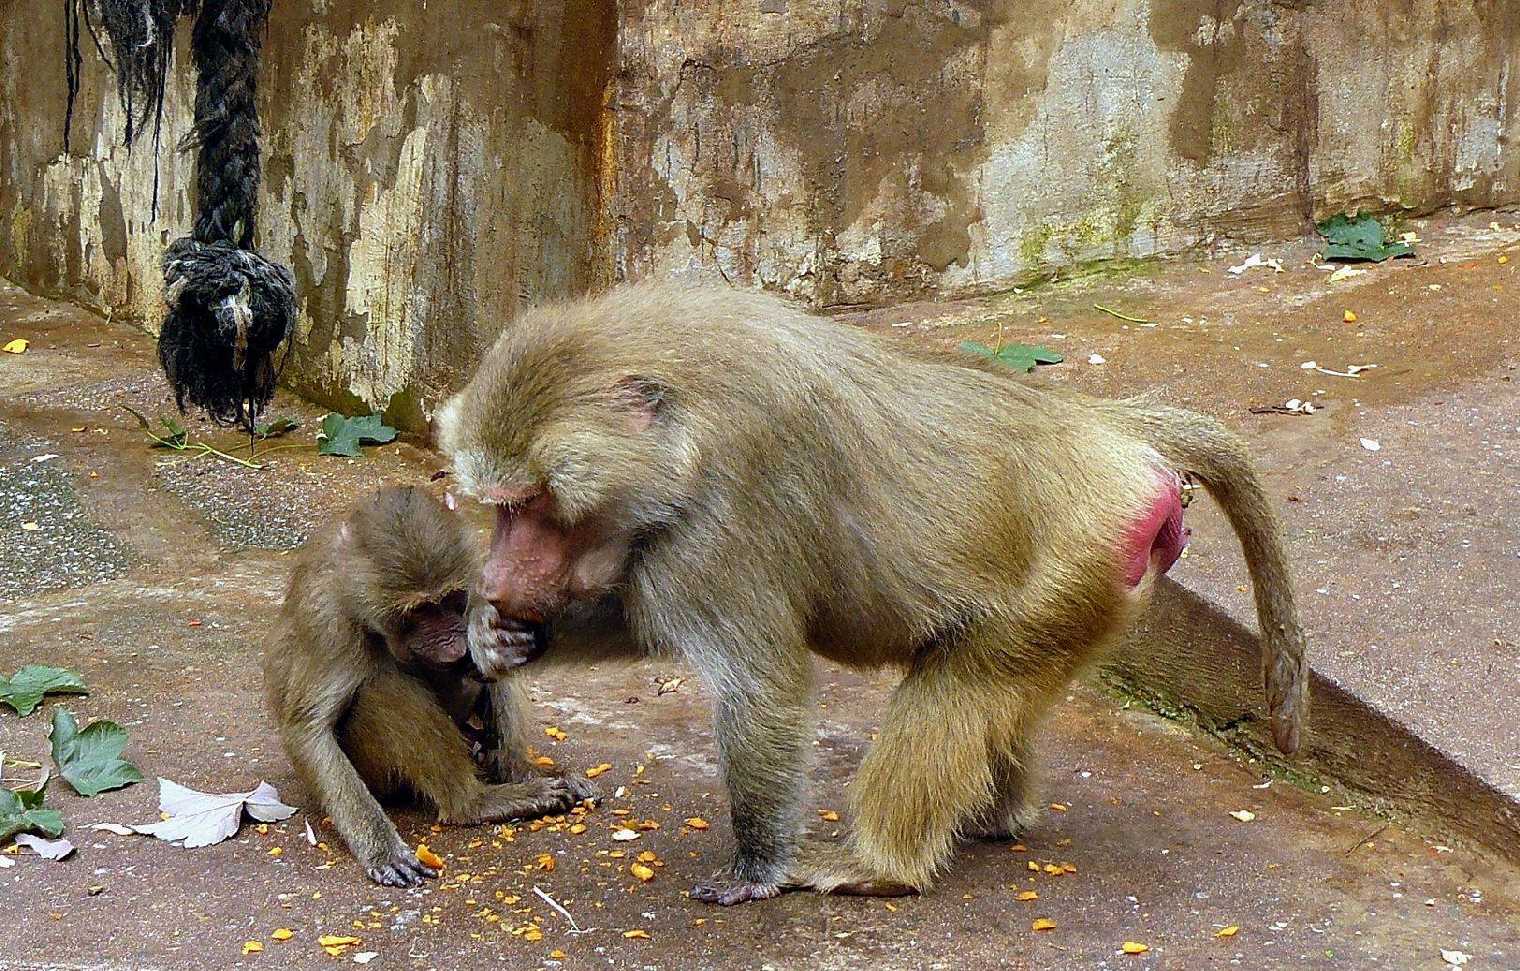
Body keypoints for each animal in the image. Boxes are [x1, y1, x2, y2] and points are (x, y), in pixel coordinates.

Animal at [264, 486, 583, 887]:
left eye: (450, 600)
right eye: (420, 612)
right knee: (385, 688)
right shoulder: (327, 620)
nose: (450, 641)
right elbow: (309, 730)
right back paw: (474, 804)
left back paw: (516, 769)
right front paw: (382, 850)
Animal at [437, 281, 1307, 905]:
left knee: (961, 689)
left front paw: (755, 866)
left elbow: (762, 684)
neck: (682, 415)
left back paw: (876, 864)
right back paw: (993, 817)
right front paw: (500, 636)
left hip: (1074, 562)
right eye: (502, 506)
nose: (500, 577)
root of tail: (1103, 430)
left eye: (534, 504)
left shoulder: (725, 517)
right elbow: (641, 618)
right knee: (995, 698)